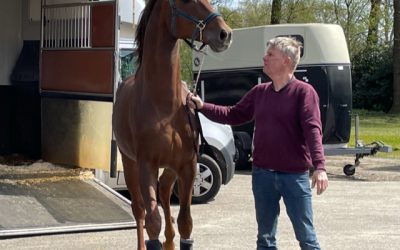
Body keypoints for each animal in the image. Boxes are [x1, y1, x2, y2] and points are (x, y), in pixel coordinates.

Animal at [111, 0, 231, 250]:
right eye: (185, 1)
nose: (224, 33)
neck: (165, 105)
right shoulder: (146, 165)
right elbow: (152, 221)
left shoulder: (188, 165)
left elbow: (185, 222)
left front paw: (175, 237)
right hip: (129, 163)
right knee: (139, 210)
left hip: (170, 167)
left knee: (165, 192)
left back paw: (169, 240)